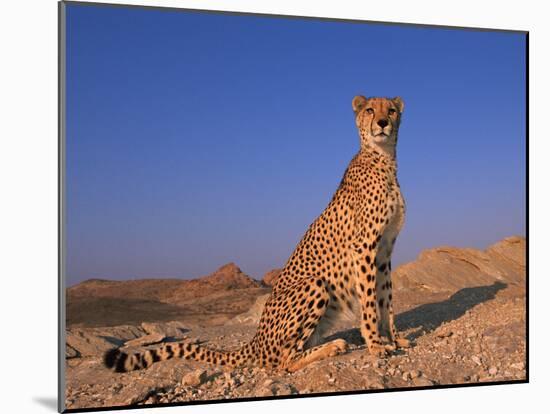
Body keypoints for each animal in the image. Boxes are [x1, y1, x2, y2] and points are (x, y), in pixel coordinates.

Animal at [105, 95, 412, 374]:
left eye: (391, 110)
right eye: (370, 109)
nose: (382, 123)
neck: (383, 159)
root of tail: (254, 341)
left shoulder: (384, 251)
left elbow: (385, 299)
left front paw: (394, 338)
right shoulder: (364, 247)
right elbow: (370, 302)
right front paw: (375, 344)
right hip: (314, 285)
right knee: (281, 363)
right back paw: (332, 346)